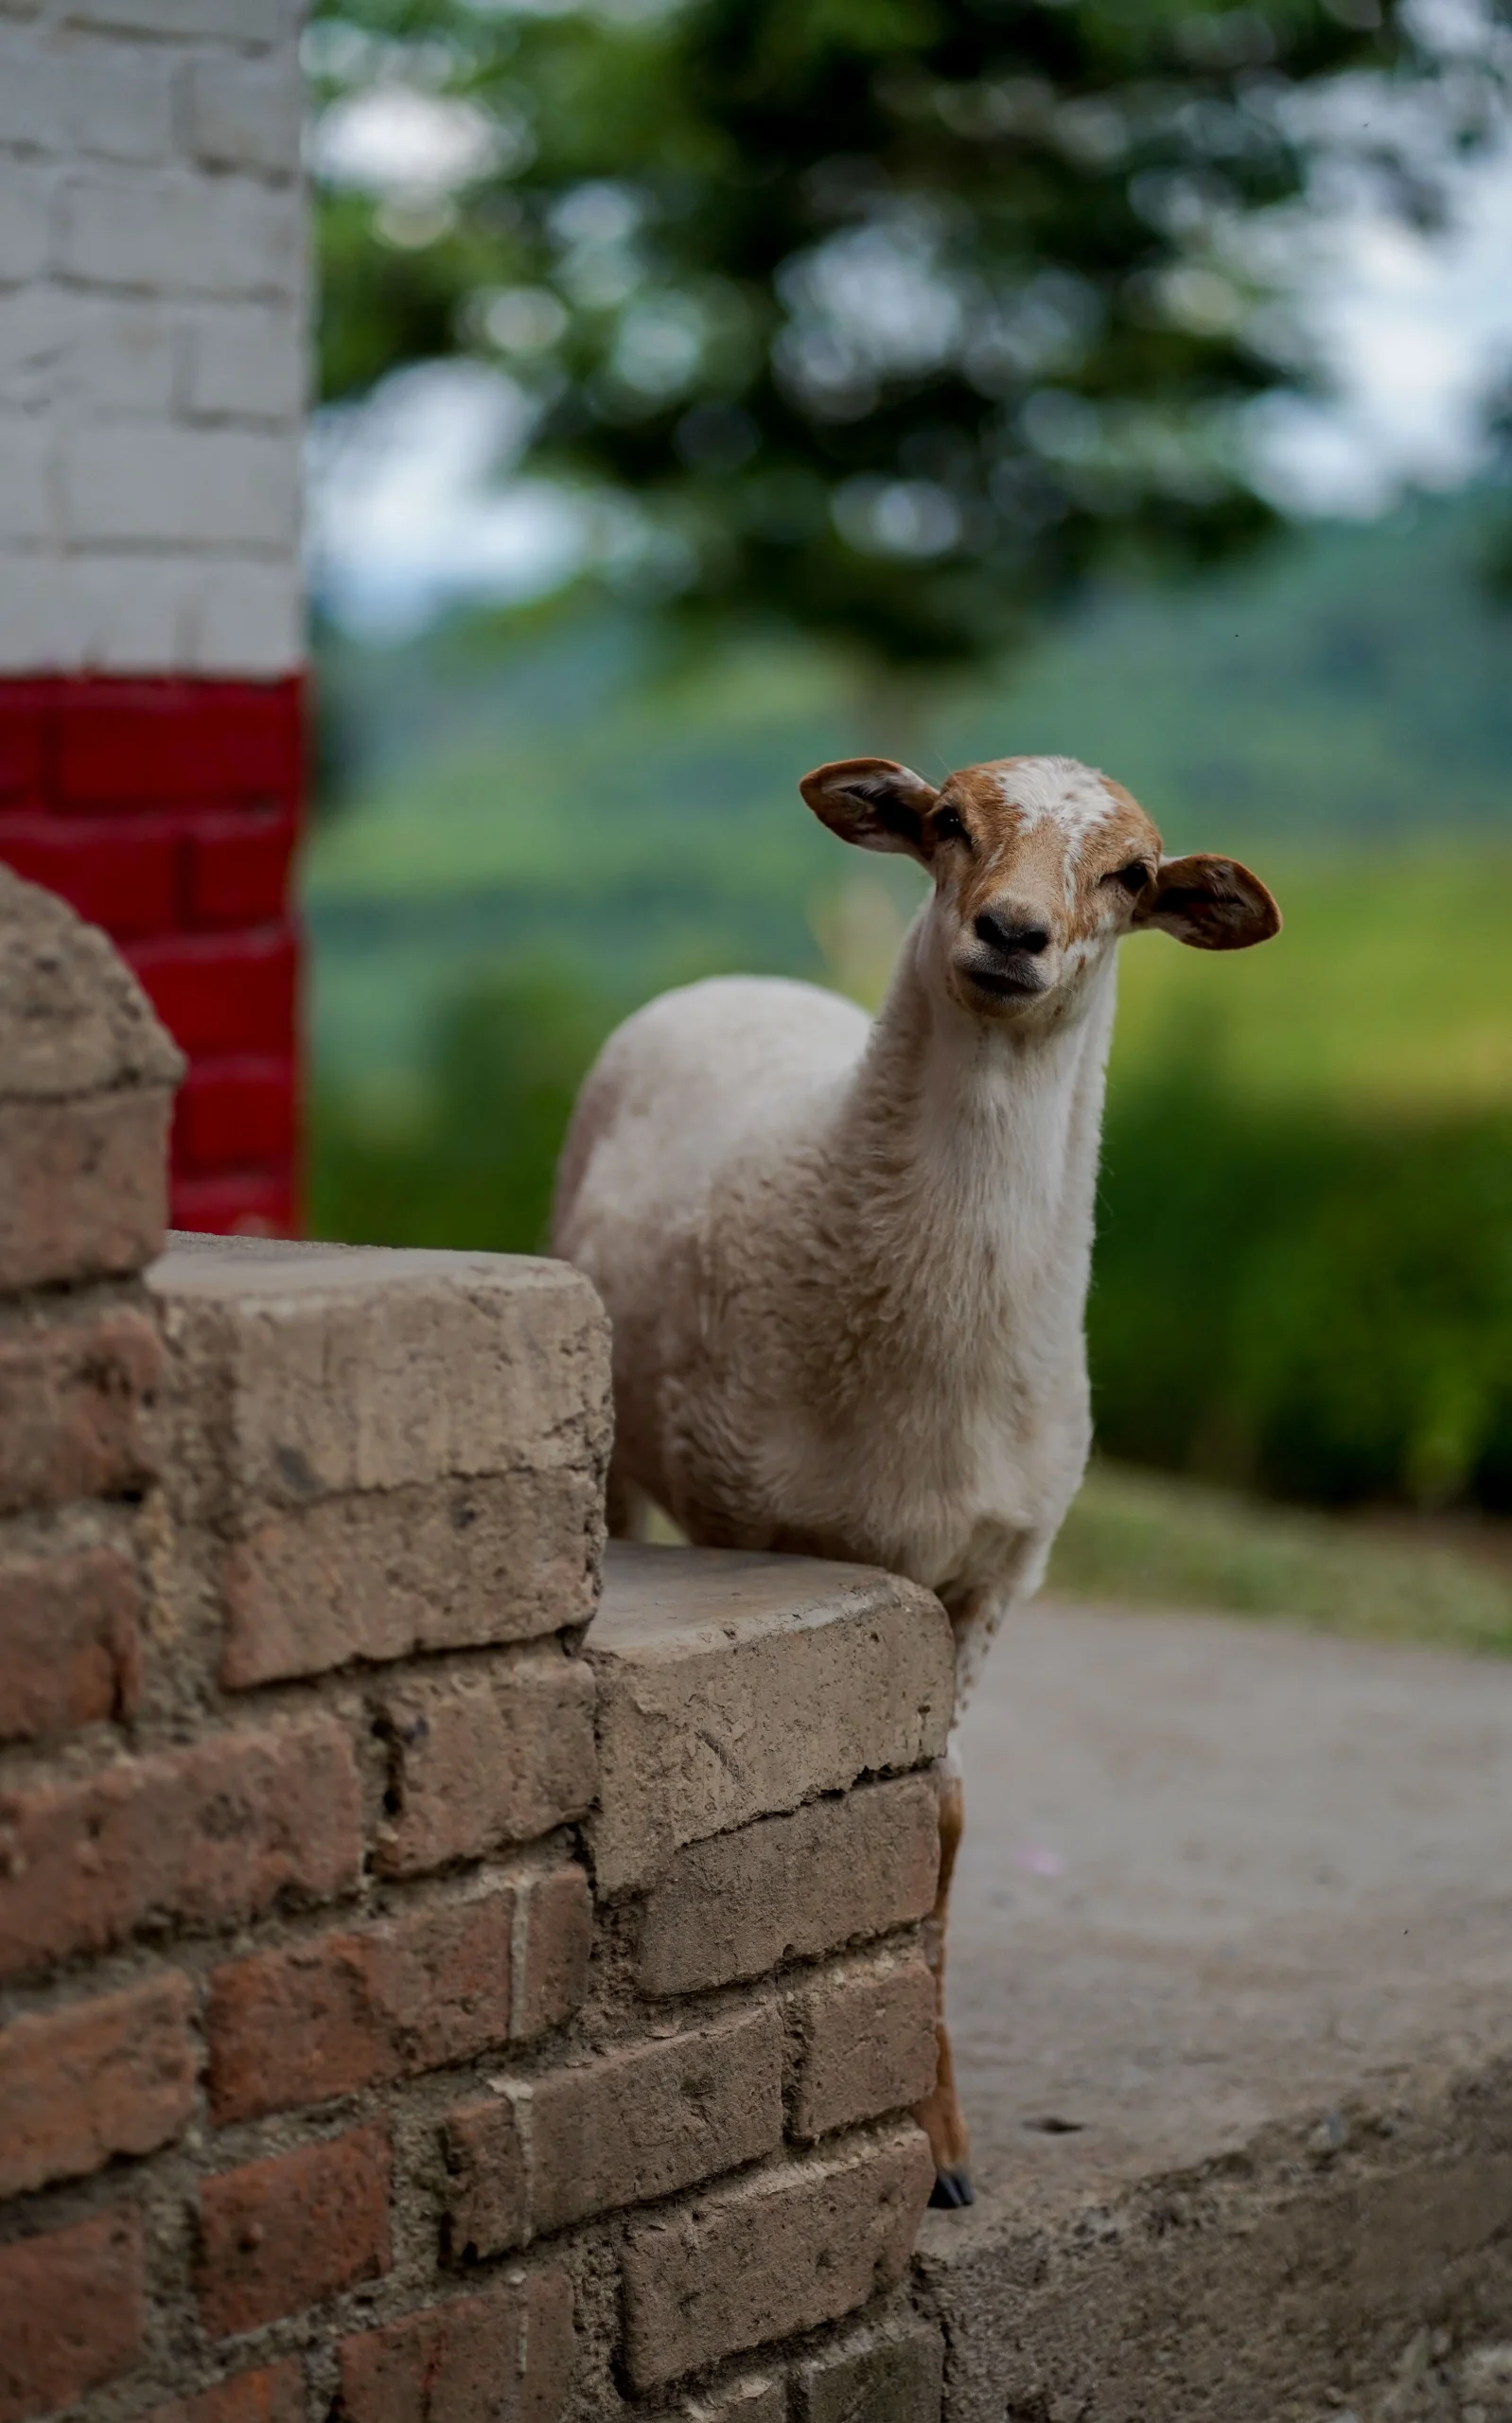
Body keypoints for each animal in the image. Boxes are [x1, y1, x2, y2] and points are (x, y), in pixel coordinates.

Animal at [553, 752, 1280, 2205]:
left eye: (1130, 873)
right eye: (948, 821)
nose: (1011, 931)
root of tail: (735, 980)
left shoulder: (996, 1574)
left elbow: (933, 1819)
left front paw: (939, 2141)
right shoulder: (762, 1527)